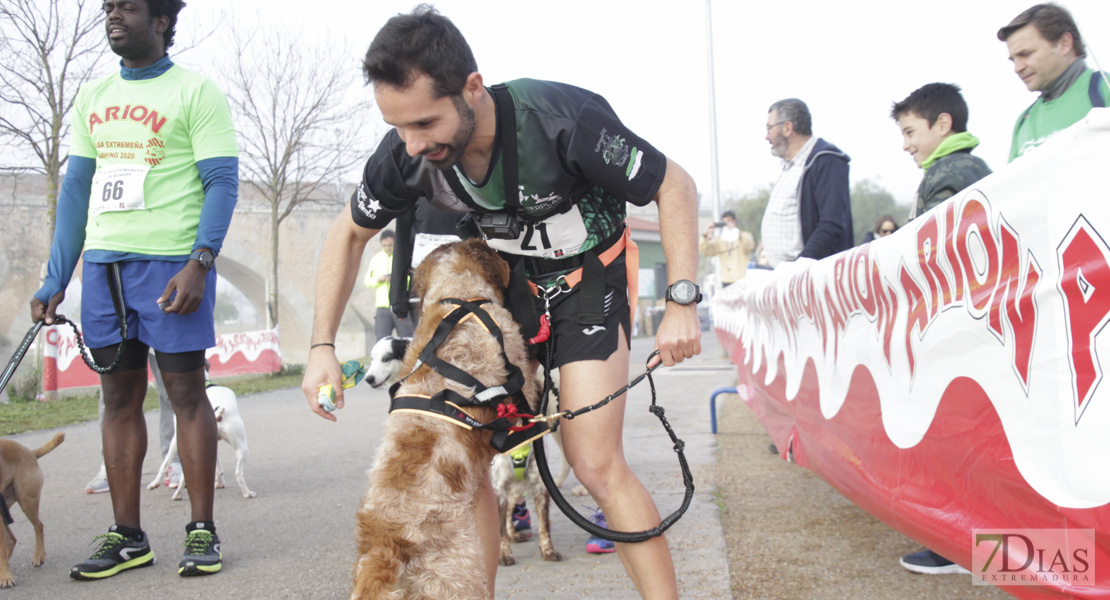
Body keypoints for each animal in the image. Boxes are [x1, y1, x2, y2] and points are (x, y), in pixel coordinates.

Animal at [0, 430, 64, 585]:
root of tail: (29, 452)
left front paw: (5, 577)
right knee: (12, 540)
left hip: (27, 501)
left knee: (38, 526)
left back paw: (38, 556)